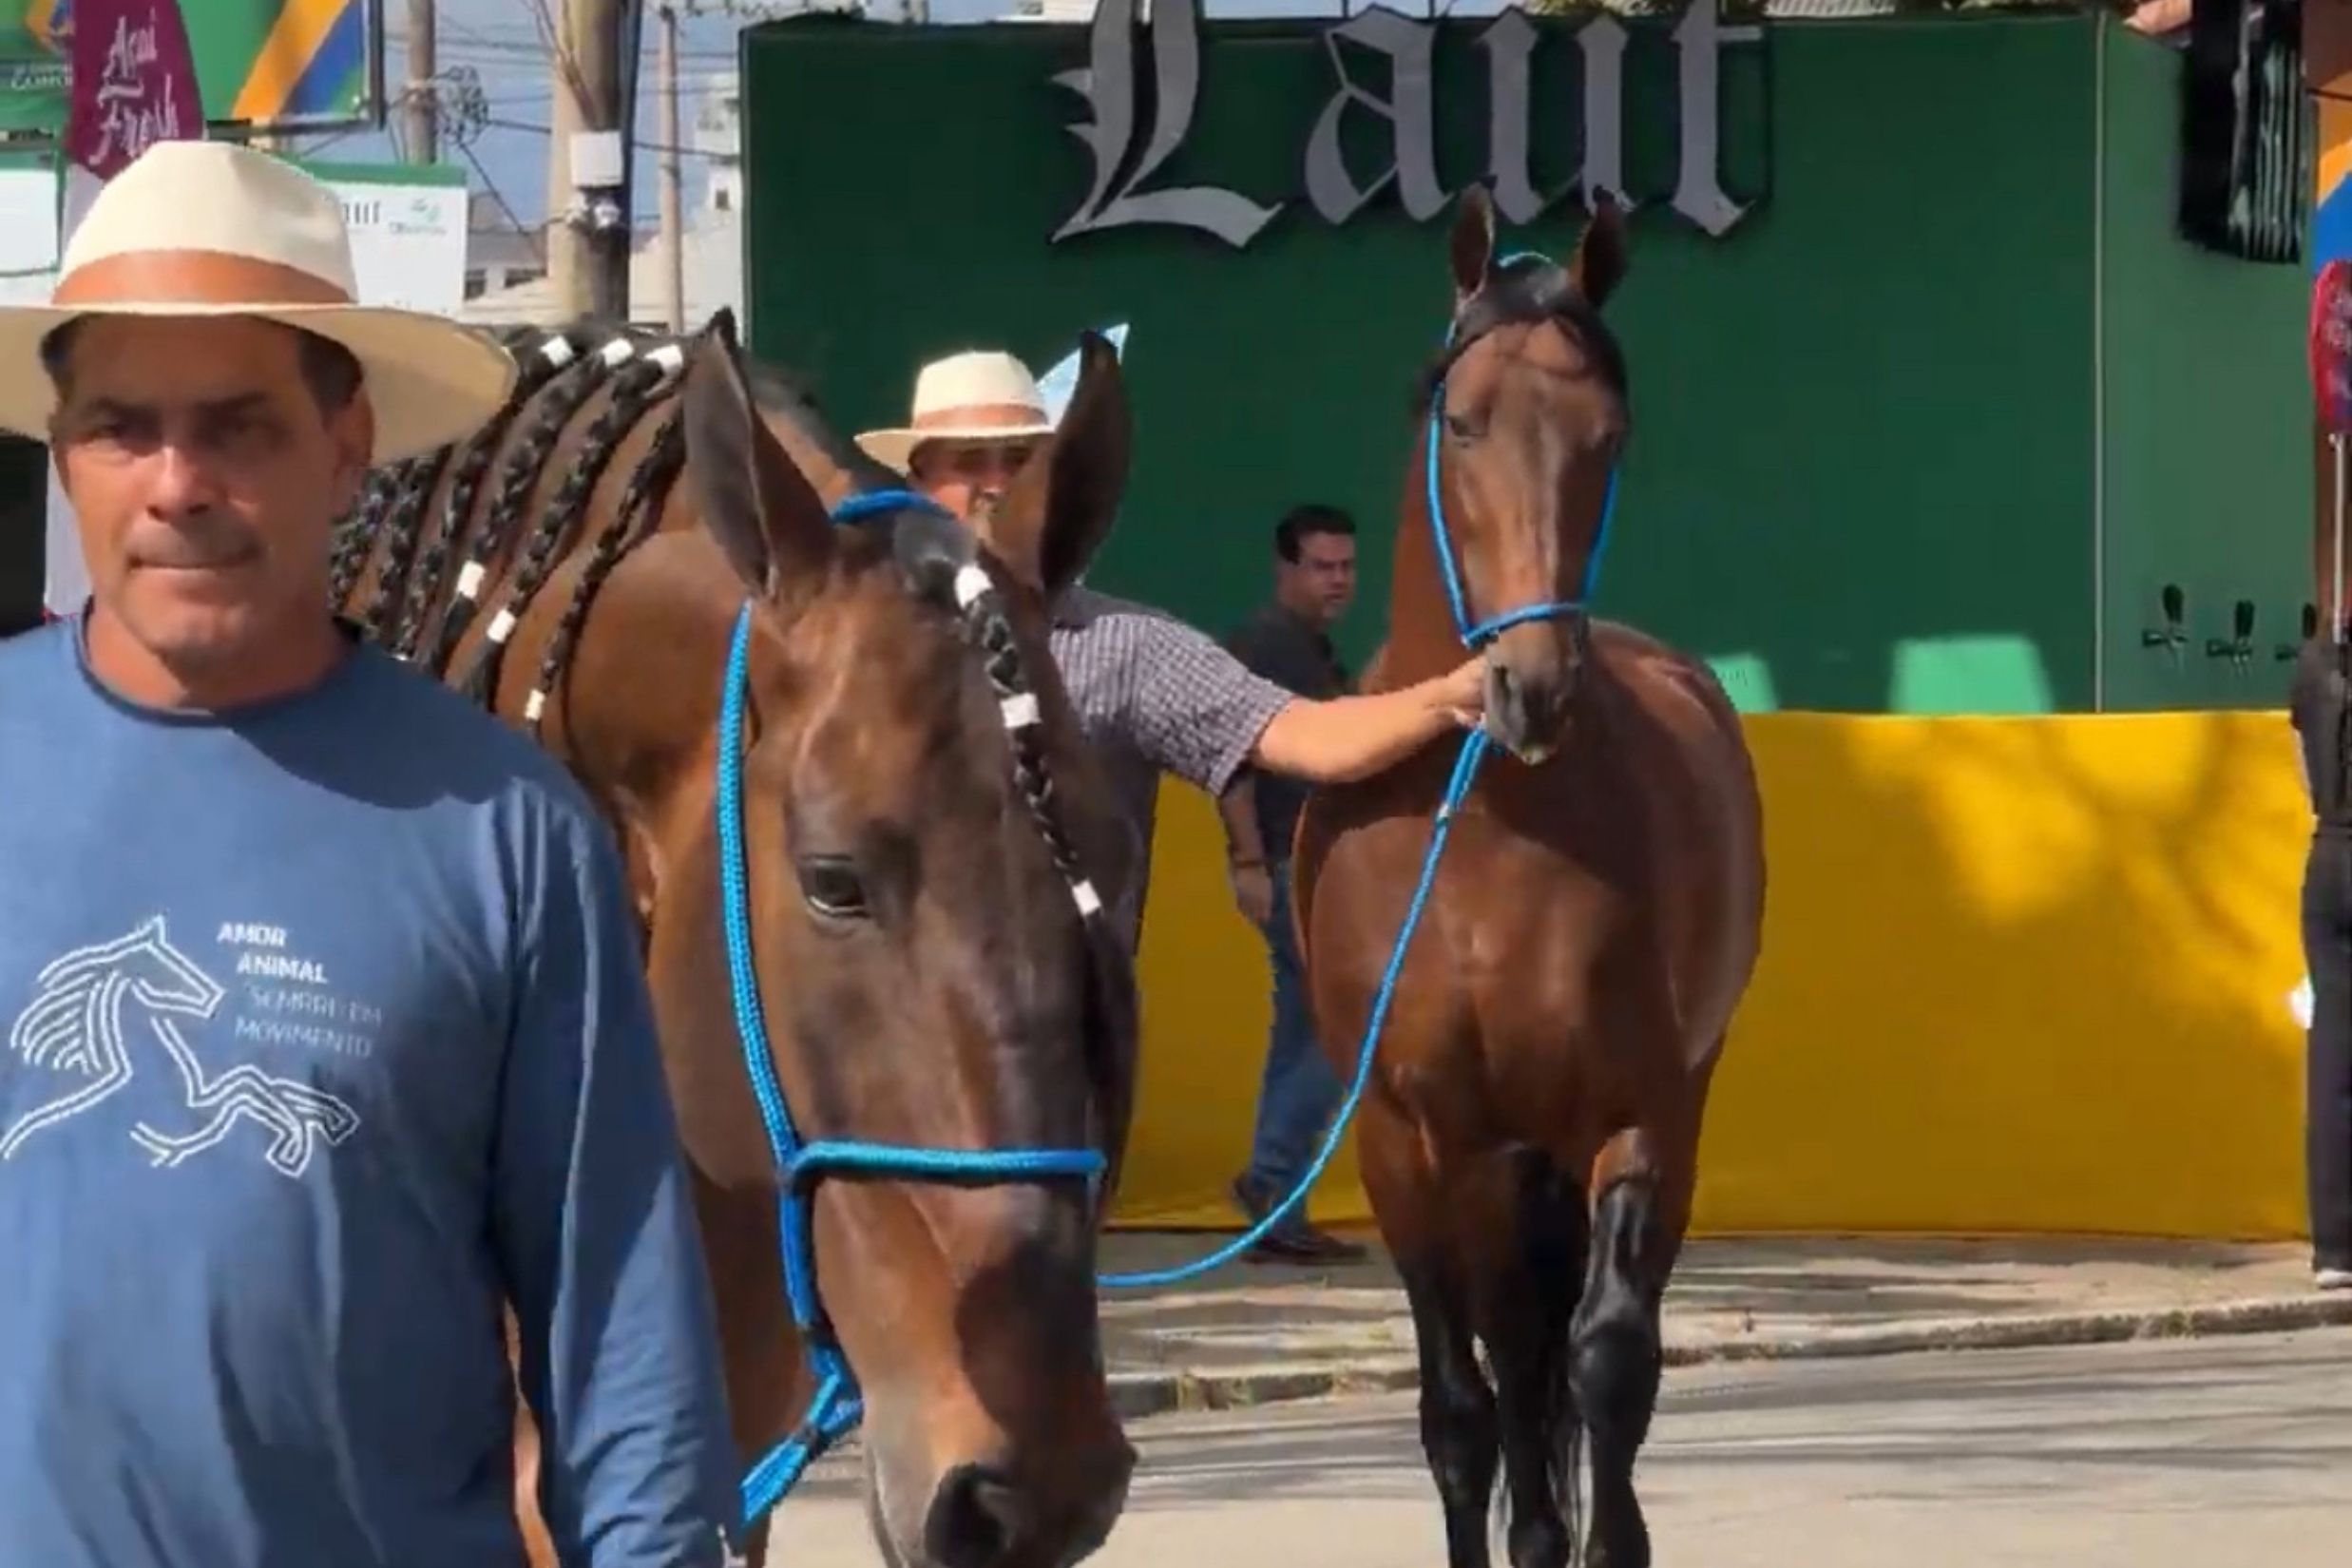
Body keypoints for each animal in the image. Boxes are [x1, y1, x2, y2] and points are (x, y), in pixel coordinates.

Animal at [1291, 186, 1767, 1568]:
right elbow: (1469, 1402)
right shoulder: (1421, 1144)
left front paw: (1602, 1538)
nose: (1530, 687)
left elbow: (1603, 1365)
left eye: (1607, 435)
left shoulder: (1636, 1114)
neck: (1490, 838)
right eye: (1463, 423)